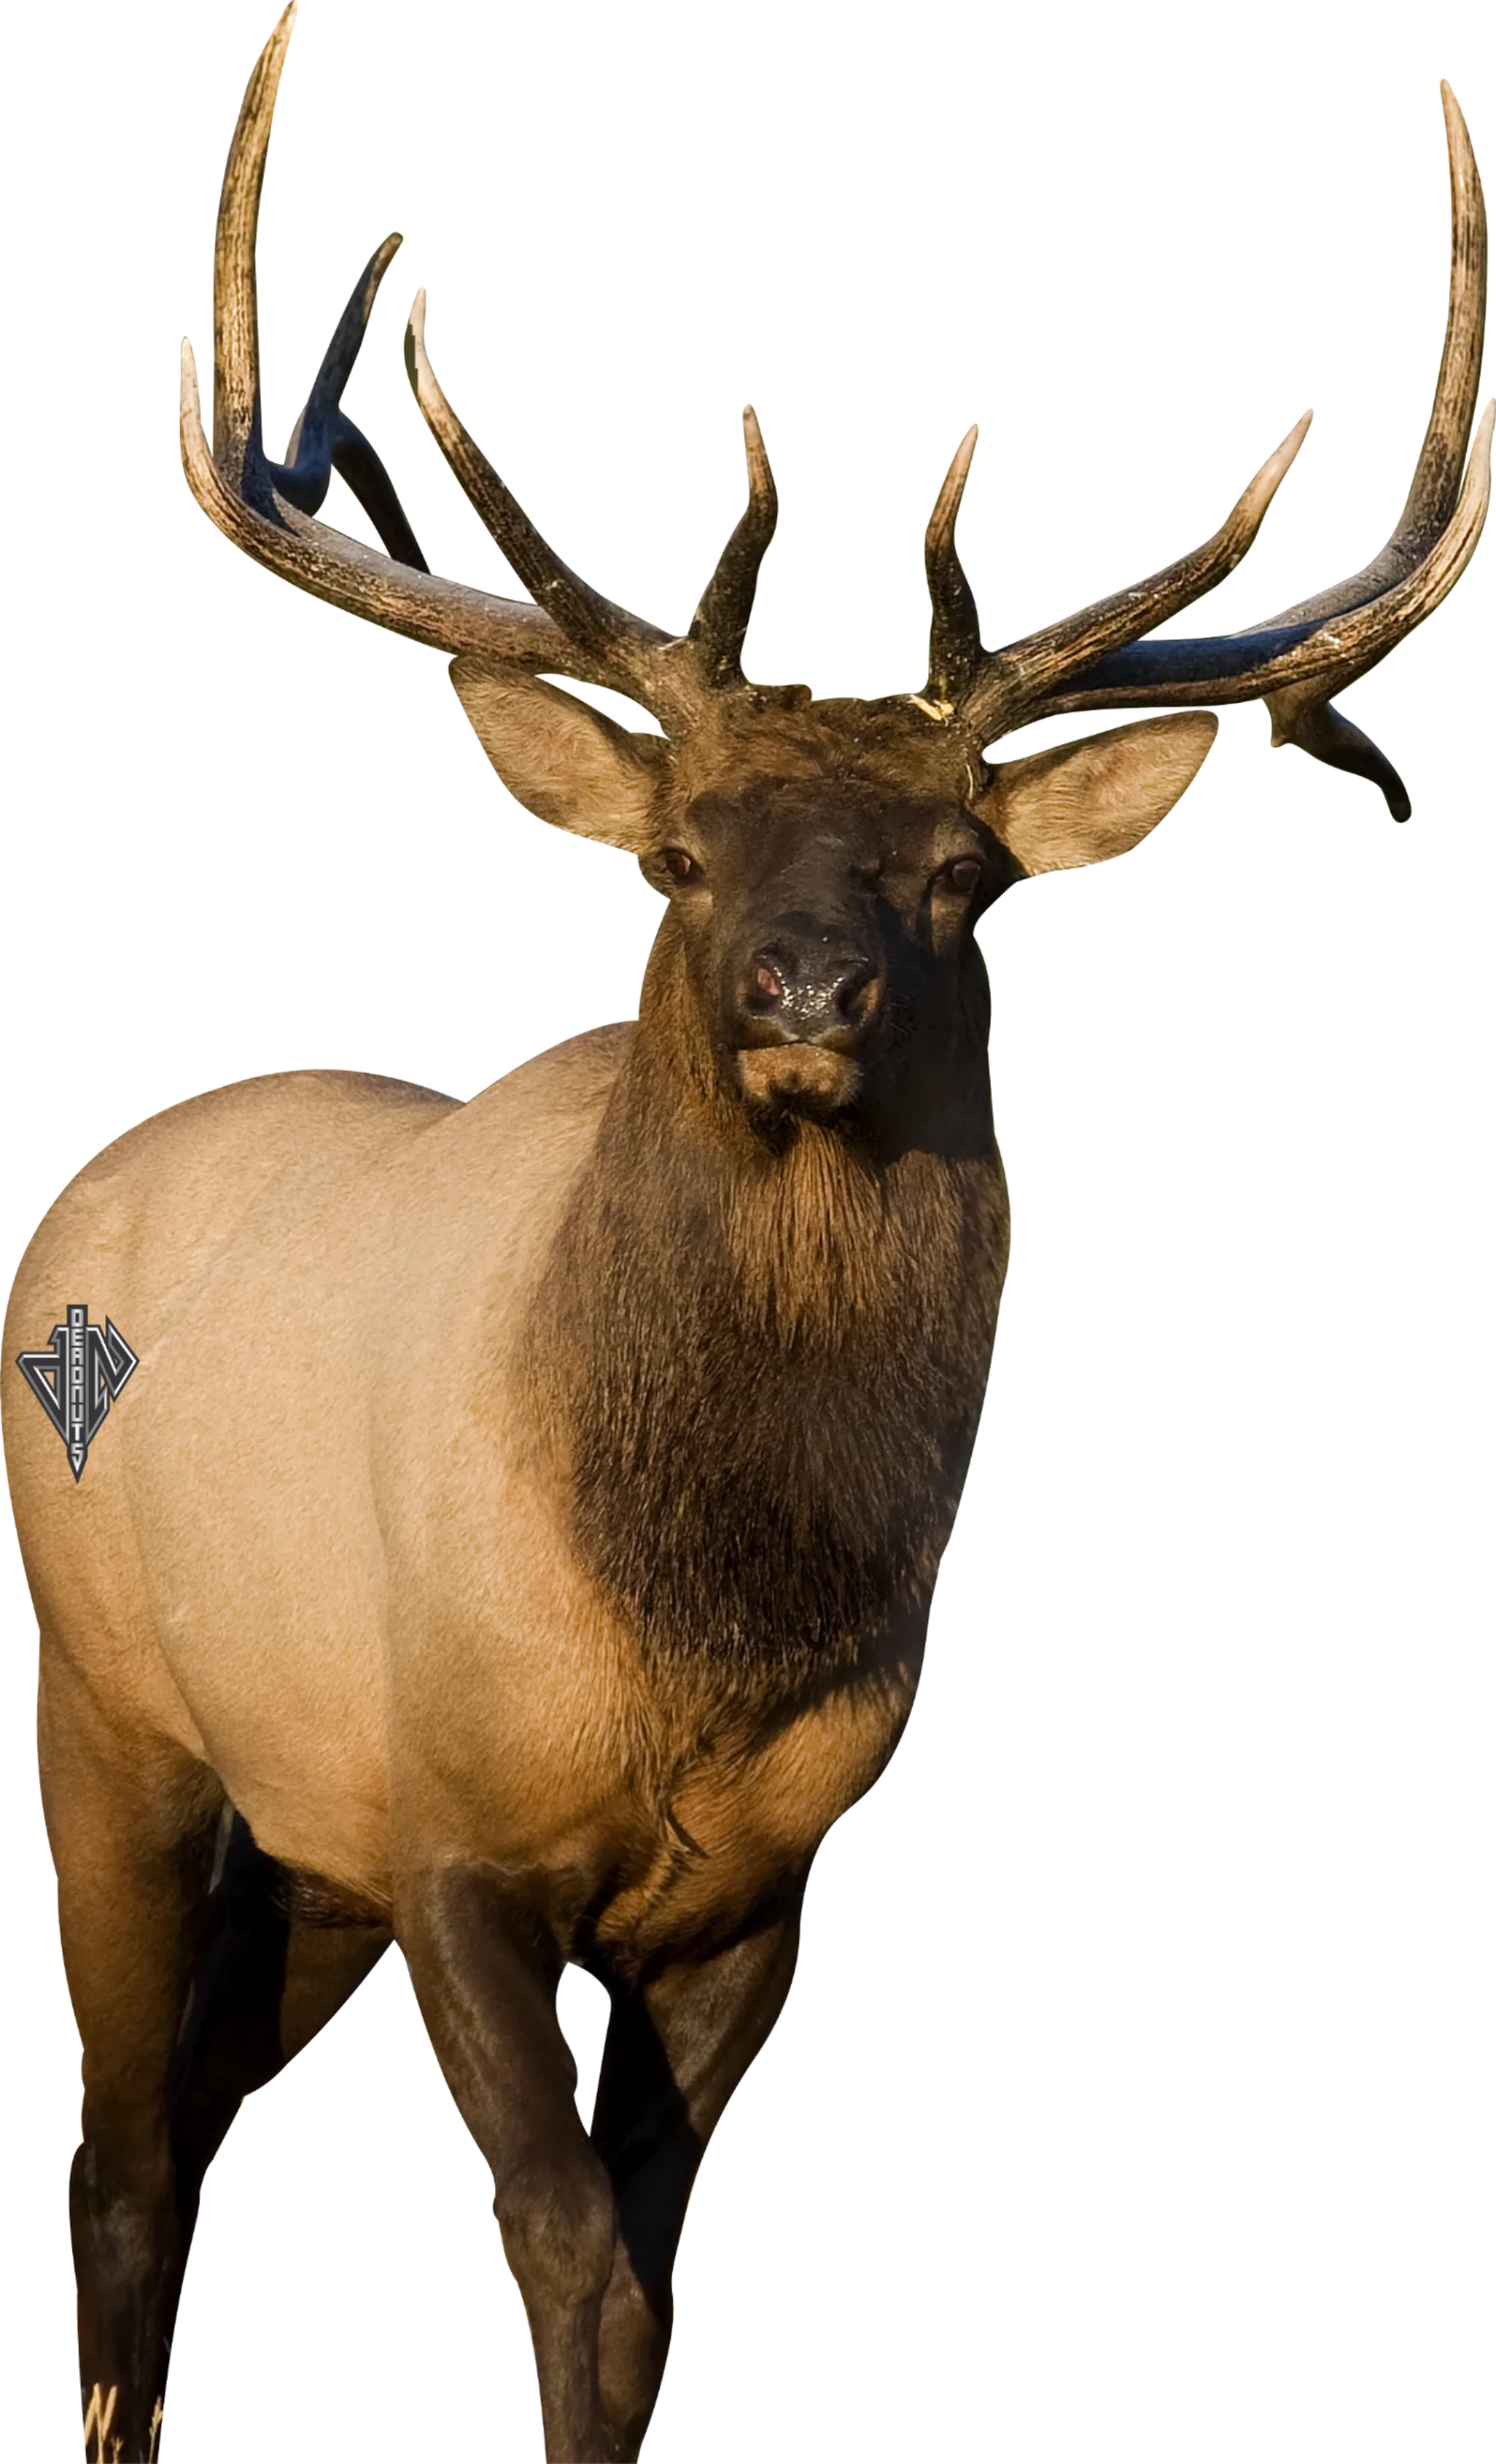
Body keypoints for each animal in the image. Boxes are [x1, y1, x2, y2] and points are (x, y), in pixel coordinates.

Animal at [4, 0, 1487, 2452]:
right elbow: (566, 2255)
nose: (805, 987)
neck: (698, 1620)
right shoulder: (450, 1827)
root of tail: (88, 1184)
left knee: (192, 2120)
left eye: (962, 876)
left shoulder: (757, 1888)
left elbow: (641, 2305)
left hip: (295, 1828)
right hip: (108, 1704)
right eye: (678, 852)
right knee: (119, 2159)